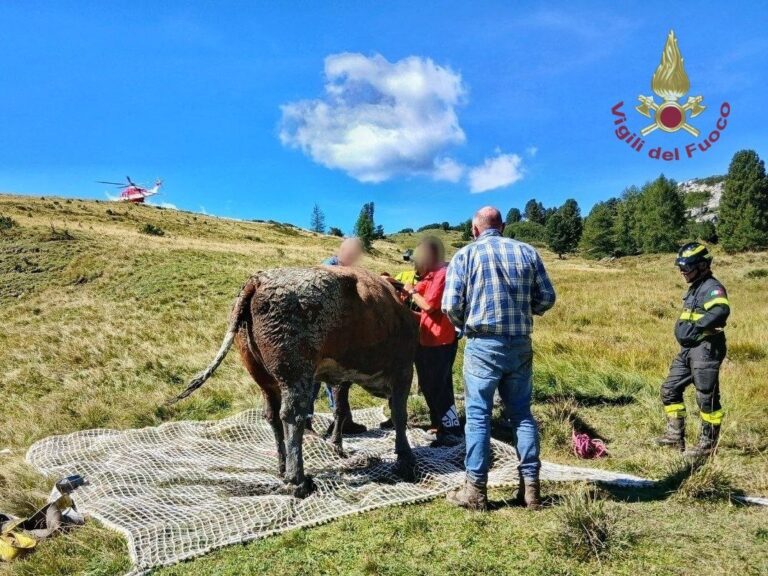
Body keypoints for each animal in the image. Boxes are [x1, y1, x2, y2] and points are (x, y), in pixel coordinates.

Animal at [171, 266, 419, 497]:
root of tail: (259, 279)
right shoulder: (404, 369)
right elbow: (399, 414)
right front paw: (405, 460)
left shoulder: (342, 375)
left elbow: (340, 410)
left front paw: (337, 446)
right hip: (295, 372)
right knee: (292, 416)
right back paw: (297, 480)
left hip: (265, 379)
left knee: (272, 416)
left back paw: (282, 467)